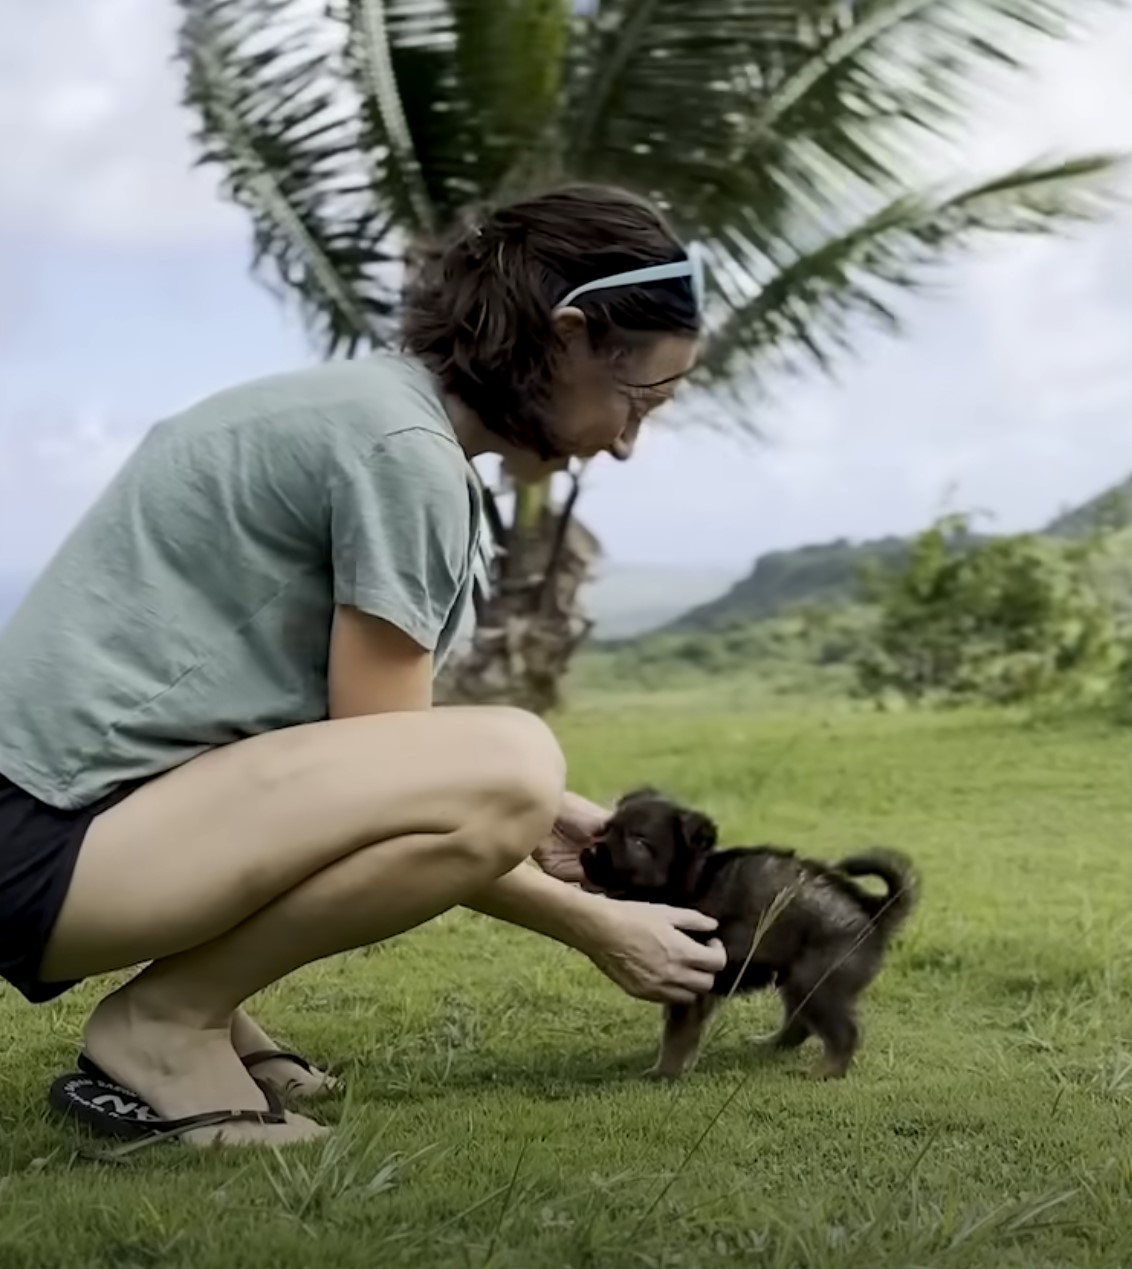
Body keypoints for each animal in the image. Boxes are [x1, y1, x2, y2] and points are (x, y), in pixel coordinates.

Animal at [578, 786, 913, 1076]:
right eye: (606, 829)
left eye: (639, 842)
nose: (591, 849)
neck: (690, 881)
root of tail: (872, 911)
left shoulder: (691, 982)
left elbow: (677, 1034)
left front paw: (664, 1072)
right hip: (798, 981)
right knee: (800, 1023)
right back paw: (772, 1044)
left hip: (816, 982)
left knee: (844, 1033)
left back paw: (826, 1071)